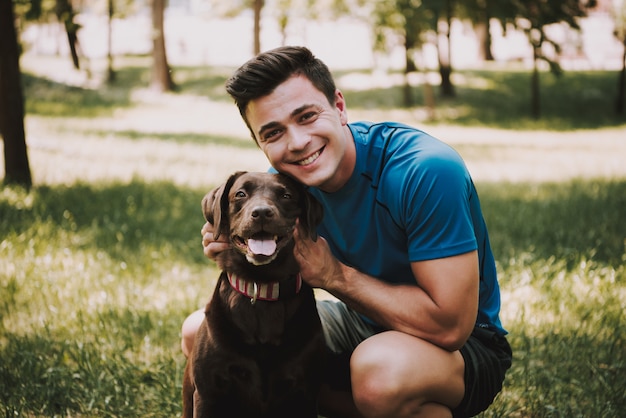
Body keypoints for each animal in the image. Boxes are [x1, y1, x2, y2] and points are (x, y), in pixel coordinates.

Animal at [183, 171, 324, 418]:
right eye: (240, 194)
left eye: (286, 195)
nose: (262, 212)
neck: (262, 286)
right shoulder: (208, 392)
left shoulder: (305, 393)